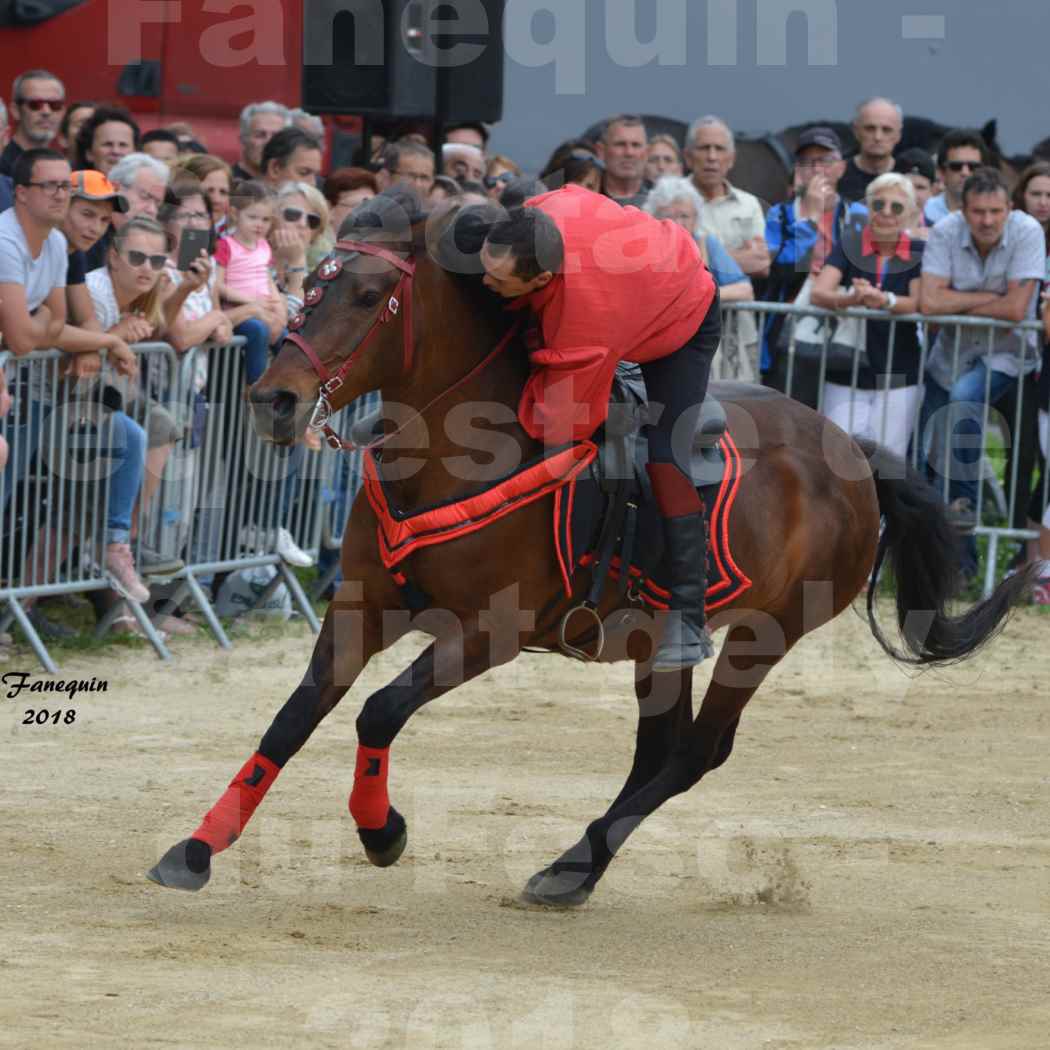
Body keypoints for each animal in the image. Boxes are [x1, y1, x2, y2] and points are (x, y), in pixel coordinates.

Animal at [145, 198, 1024, 911]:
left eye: (366, 296)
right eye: (306, 288)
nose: (274, 400)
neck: (453, 453)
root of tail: (853, 451)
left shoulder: (489, 632)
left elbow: (378, 710)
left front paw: (381, 831)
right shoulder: (362, 605)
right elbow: (294, 718)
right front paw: (196, 848)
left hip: (765, 635)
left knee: (696, 753)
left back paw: (573, 865)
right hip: (658, 641)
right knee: (657, 751)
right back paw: (578, 869)